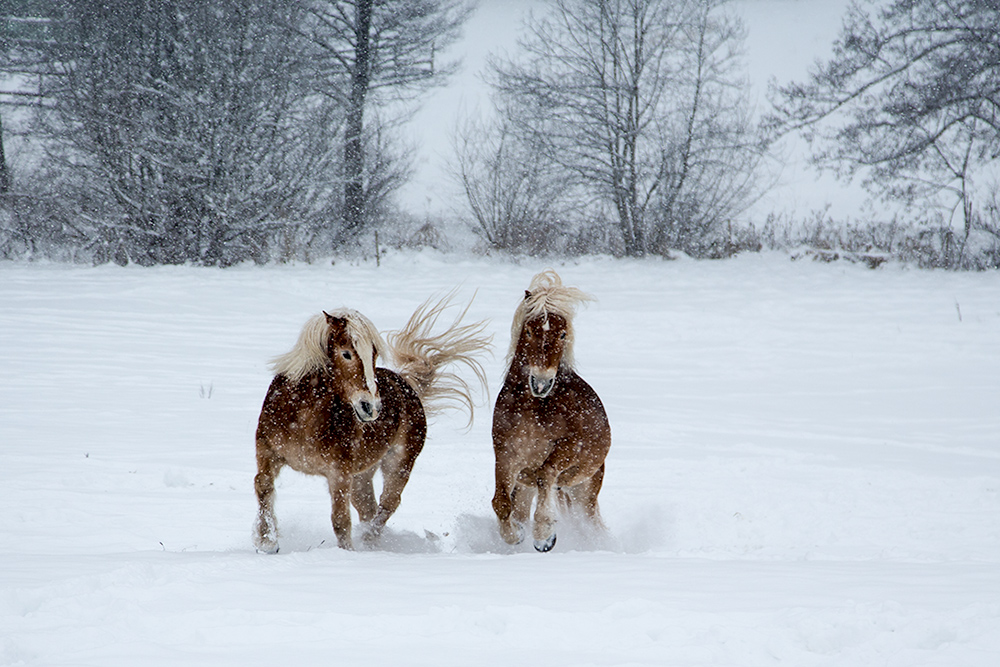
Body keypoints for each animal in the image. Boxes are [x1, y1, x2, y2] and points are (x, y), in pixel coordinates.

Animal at [254, 298, 488, 552]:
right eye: (346, 353)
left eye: (374, 354)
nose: (371, 407)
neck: (303, 417)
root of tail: (408, 386)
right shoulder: (267, 453)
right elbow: (263, 486)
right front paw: (266, 542)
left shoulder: (339, 474)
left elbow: (340, 520)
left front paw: (347, 552)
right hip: (363, 475)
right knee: (368, 507)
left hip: (399, 463)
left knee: (387, 505)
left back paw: (369, 541)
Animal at [492, 268, 608, 552]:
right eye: (529, 331)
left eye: (563, 334)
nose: (541, 383)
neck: (532, 409)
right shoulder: (505, 455)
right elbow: (501, 503)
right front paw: (516, 535)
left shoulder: (569, 448)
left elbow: (546, 473)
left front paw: (545, 535)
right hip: (530, 485)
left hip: (583, 489)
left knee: (591, 524)